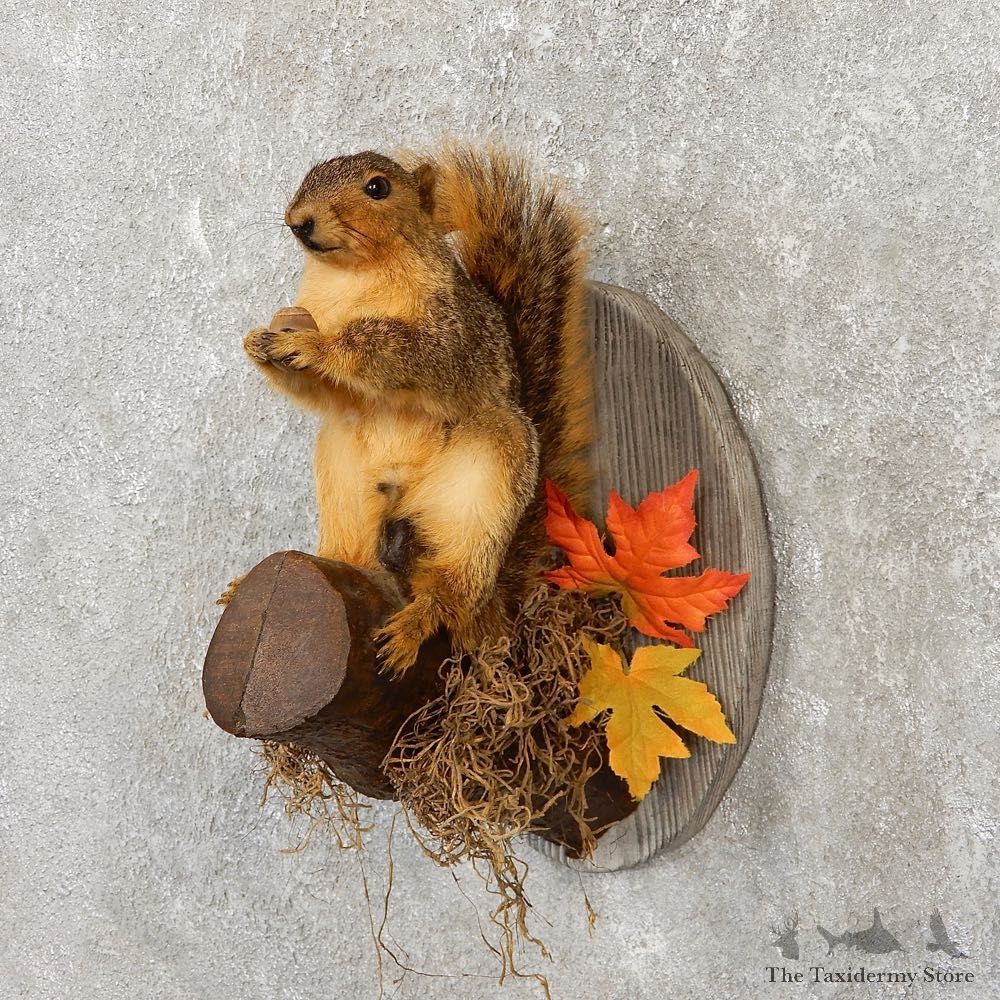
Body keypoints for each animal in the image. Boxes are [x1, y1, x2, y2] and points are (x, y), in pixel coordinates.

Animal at [243, 144, 592, 673]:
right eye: (310, 174)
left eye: (378, 188)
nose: (298, 221)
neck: (353, 276)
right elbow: (330, 395)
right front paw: (262, 341)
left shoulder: (452, 335)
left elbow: (402, 351)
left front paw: (316, 345)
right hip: (346, 478)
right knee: (360, 559)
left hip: (485, 477)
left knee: (453, 587)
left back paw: (418, 620)